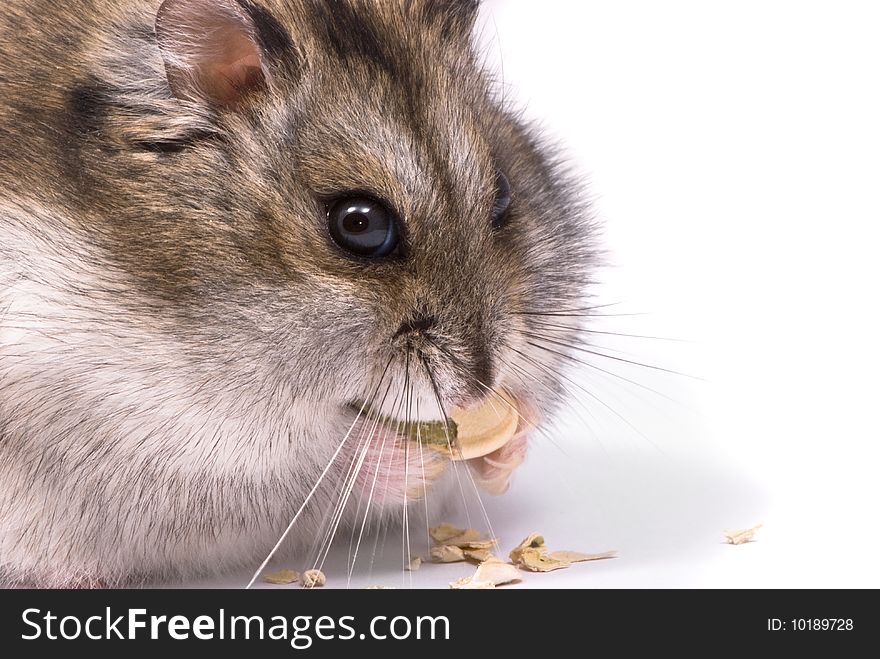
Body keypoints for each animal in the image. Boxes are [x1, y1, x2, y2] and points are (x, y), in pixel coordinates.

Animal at [0, 0, 596, 588]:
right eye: (359, 224)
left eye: (503, 196)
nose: (478, 393)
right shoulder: (167, 442)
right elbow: (314, 466)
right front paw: (406, 457)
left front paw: (509, 438)